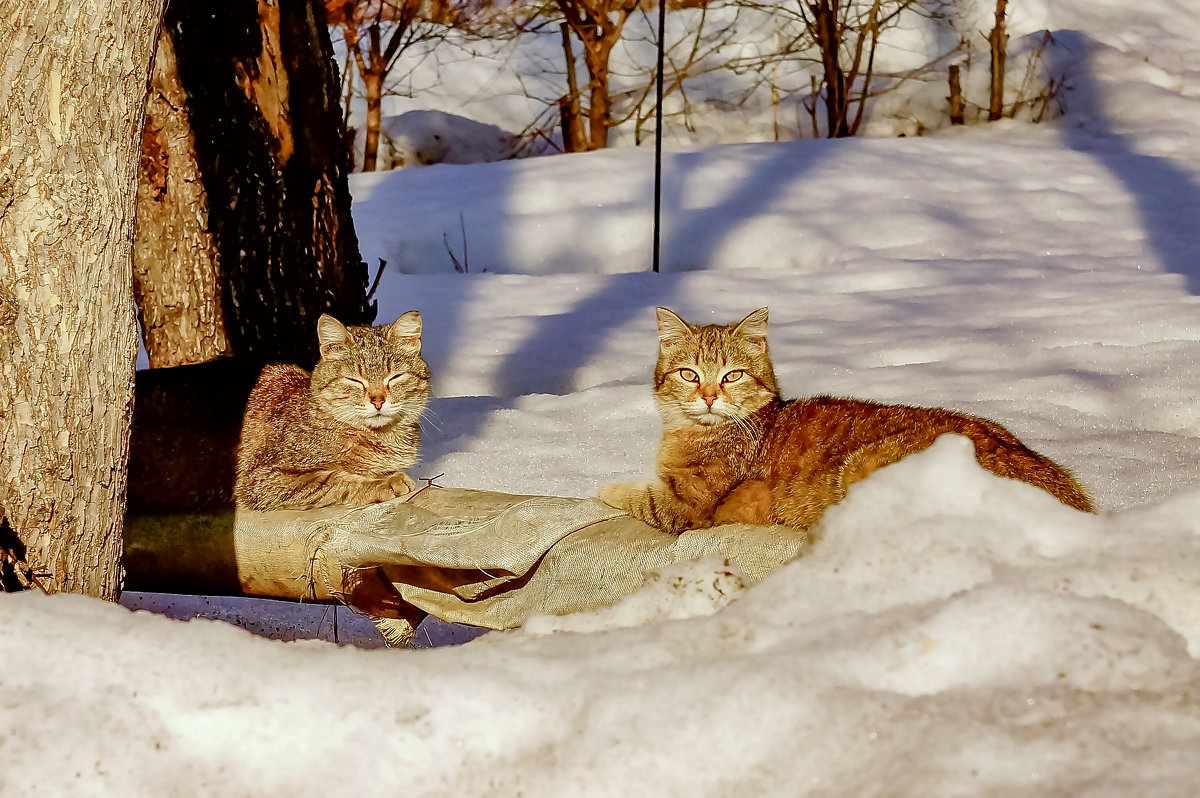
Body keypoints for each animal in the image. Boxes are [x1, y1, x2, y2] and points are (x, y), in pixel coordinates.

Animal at [600, 307, 1099, 532]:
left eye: (732, 375)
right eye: (689, 374)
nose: (707, 397)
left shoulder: (685, 508)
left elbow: (636, 497)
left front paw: (607, 489)